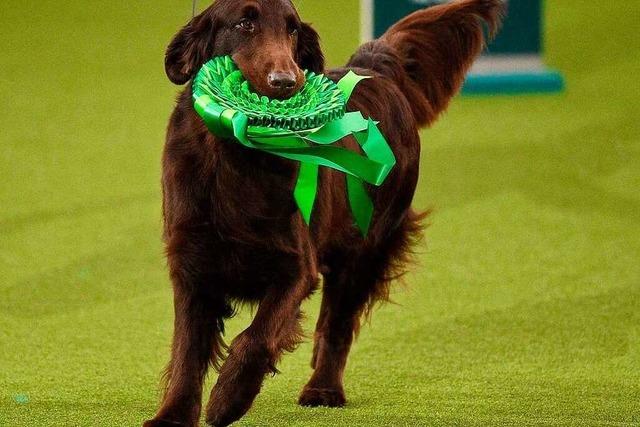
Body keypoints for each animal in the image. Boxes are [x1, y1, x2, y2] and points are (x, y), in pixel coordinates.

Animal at [145, 0, 504, 427]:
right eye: (244, 24)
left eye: (293, 30)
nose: (287, 81)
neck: (237, 157)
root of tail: (375, 68)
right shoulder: (191, 262)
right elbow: (187, 349)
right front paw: (172, 415)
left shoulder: (297, 267)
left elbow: (258, 336)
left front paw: (229, 397)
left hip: (365, 246)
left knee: (338, 323)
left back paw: (323, 388)